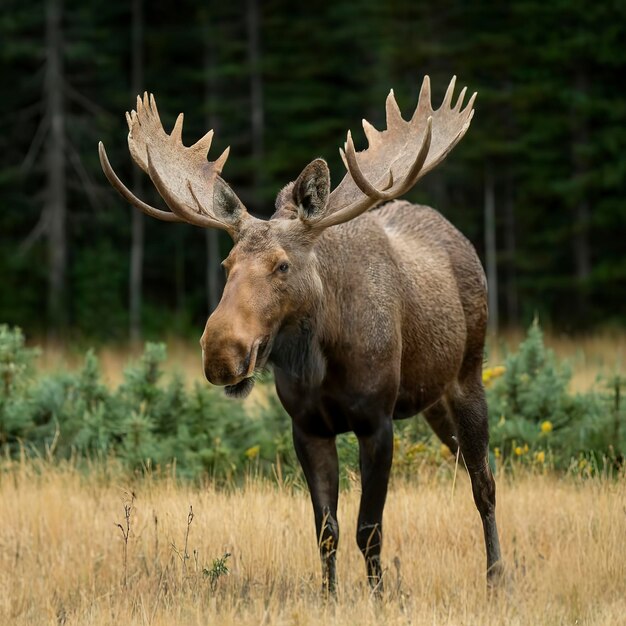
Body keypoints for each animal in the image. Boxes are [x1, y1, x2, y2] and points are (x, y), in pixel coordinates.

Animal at [100, 75, 504, 592]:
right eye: (226, 264)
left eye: (282, 265)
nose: (220, 350)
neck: (322, 361)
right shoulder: (307, 426)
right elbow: (326, 531)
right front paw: (330, 596)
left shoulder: (377, 421)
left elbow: (369, 531)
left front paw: (380, 597)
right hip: (432, 400)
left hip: (468, 373)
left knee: (484, 483)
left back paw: (497, 578)